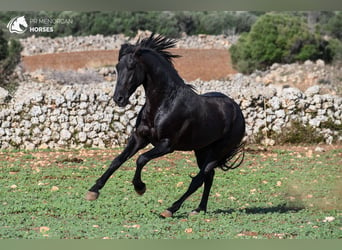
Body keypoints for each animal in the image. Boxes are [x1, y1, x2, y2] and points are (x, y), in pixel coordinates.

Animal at [85, 34, 246, 218]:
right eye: (117, 67)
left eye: (132, 66)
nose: (119, 99)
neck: (163, 104)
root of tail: (238, 111)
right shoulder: (139, 138)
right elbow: (117, 160)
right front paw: (93, 191)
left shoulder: (167, 145)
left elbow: (141, 159)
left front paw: (140, 187)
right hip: (201, 150)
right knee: (209, 176)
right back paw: (199, 209)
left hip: (217, 151)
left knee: (199, 178)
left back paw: (171, 209)